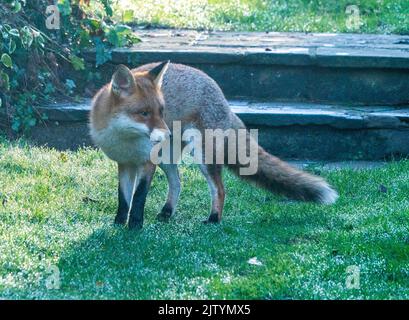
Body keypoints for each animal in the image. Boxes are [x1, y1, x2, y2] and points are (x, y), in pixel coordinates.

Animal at [90, 61, 338, 229]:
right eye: (143, 113)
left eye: (162, 111)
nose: (168, 132)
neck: (125, 139)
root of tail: (222, 96)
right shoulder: (125, 164)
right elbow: (124, 199)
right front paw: (118, 224)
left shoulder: (147, 162)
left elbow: (139, 197)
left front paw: (134, 227)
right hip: (167, 159)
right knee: (178, 183)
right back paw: (167, 212)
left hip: (203, 157)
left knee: (219, 189)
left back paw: (213, 219)